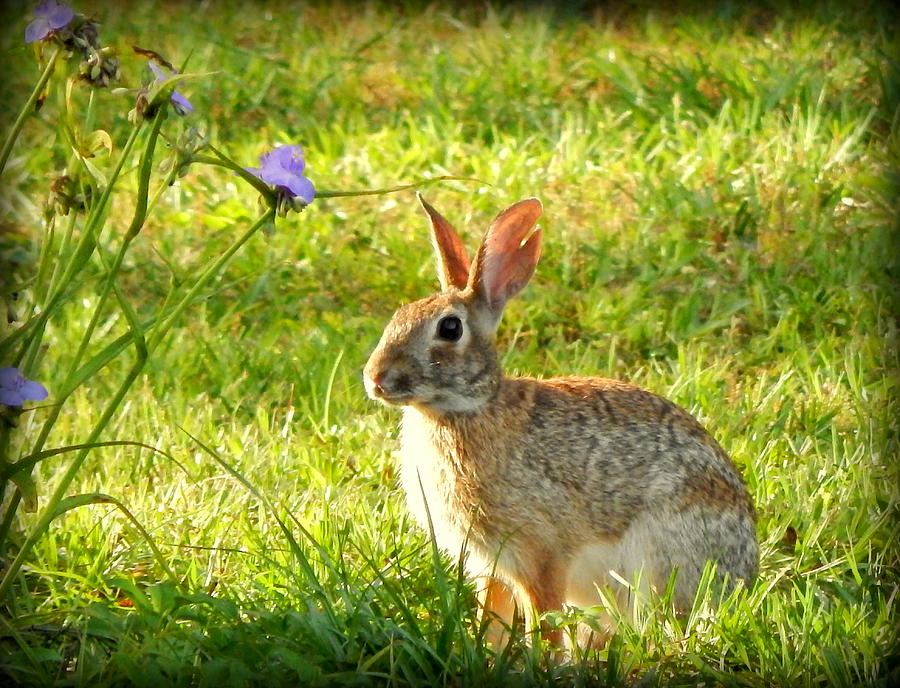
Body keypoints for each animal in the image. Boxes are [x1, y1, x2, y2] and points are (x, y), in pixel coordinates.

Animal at [362, 195, 756, 652]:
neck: (467, 408)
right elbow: (491, 617)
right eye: (398, 315)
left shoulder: (540, 555)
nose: (375, 378)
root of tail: (745, 573)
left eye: (449, 327)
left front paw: (542, 659)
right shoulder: (490, 566)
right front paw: (489, 656)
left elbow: (543, 618)